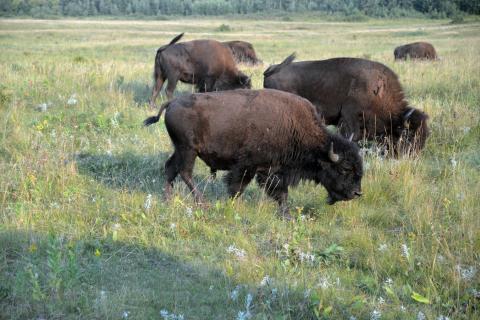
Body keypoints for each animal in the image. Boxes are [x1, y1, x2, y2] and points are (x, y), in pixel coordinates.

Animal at [144, 89, 362, 218]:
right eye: (344, 169)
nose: (357, 193)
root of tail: (172, 102)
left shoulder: (274, 171)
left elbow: (281, 194)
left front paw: (286, 215)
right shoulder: (248, 166)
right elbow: (238, 187)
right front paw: (232, 205)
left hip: (180, 149)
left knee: (170, 169)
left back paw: (168, 199)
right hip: (188, 150)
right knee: (184, 172)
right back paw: (202, 203)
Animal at [264, 53, 430, 155]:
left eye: (425, 135)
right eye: (409, 135)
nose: (413, 155)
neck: (379, 90)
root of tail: (272, 69)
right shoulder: (349, 118)